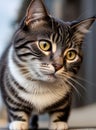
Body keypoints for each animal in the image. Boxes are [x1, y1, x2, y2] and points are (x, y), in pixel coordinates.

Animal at [0, 0, 95, 130]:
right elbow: (15, 107)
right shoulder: (9, 93)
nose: (58, 66)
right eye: (44, 45)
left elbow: (61, 109)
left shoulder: (67, 97)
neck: (42, 86)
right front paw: (18, 123)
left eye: (71, 55)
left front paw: (58, 123)